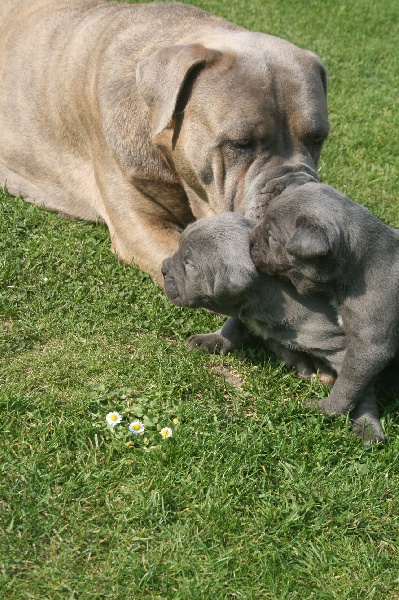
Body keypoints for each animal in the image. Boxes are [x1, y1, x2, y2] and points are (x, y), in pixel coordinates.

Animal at [161, 213, 386, 442]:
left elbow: (356, 388)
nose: (163, 268)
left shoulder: (345, 346)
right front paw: (211, 340)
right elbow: (233, 325)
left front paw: (366, 426)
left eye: (189, 265)